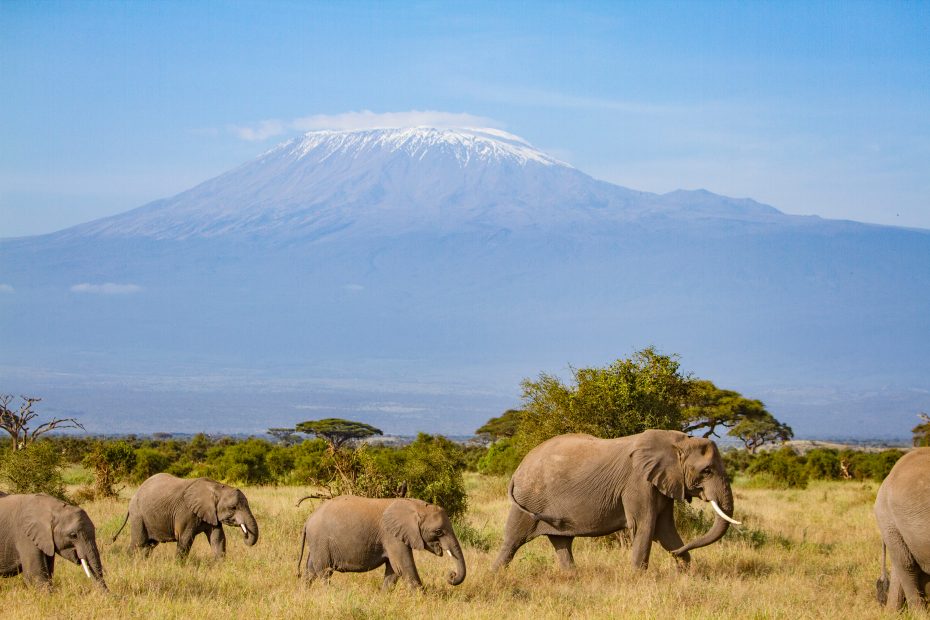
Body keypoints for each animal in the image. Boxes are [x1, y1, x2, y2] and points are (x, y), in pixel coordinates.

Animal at [112, 472, 258, 560]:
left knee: (148, 545)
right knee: (138, 543)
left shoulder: (211, 514)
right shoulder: (186, 512)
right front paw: (179, 566)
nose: (245, 535)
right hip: (138, 515)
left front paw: (220, 565)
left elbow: (218, 539)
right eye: (233, 508)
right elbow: (185, 539)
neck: (216, 487)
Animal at [296, 494, 464, 592]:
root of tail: (308, 520)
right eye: (439, 532)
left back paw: (304, 593)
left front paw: (383, 596)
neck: (416, 506)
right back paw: (331, 594)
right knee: (324, 571)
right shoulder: (392, 536)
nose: (451, 575)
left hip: (317, 543)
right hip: (321, 540)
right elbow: (404, 566)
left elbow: (393, 570)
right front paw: (421, 599)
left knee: (310, 570)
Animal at [490, 432, 736, 572]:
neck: (678, 442)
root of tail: (518, 468)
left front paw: (686, 573)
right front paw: (638, 579)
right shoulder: (638, 482)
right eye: (707, 471)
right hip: (529, 497)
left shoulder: (662, 483)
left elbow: (665, 530)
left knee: (562, 542)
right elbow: (645, 526)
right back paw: (495, 576)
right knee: (513, 539)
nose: (678, 554)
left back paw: (573, 578)